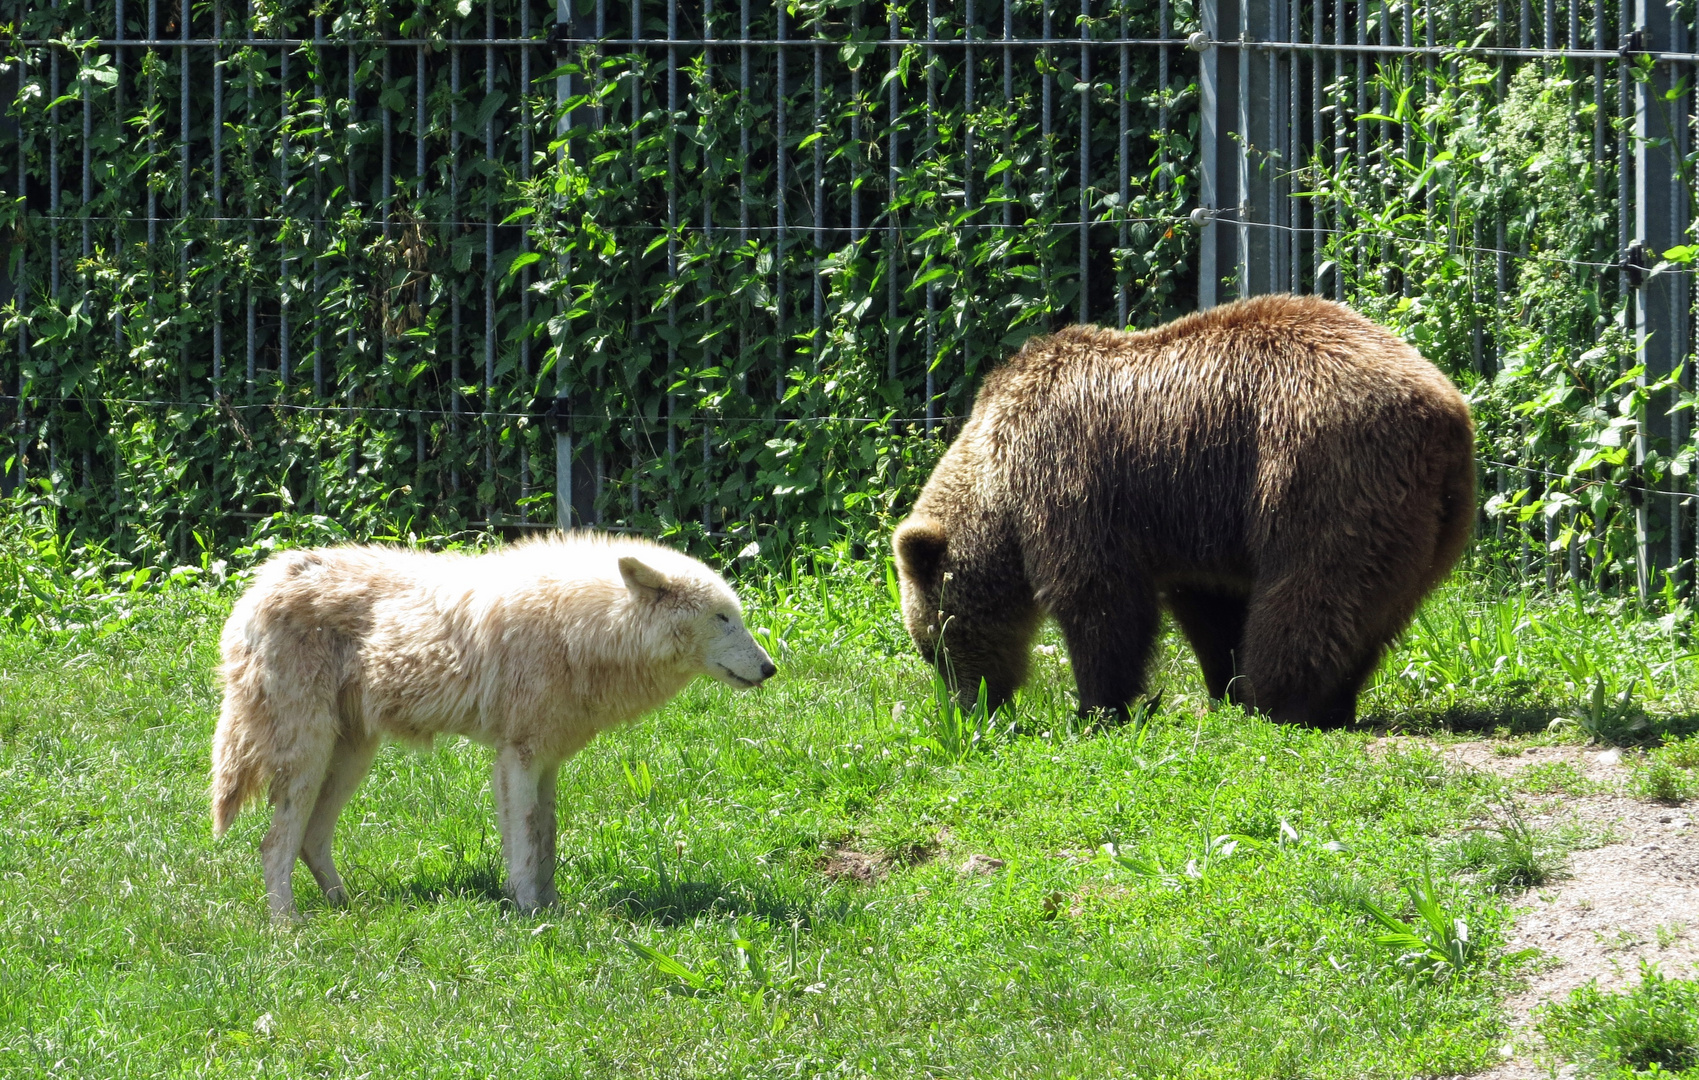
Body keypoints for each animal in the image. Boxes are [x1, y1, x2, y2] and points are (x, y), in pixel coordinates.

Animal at [207, 529, 781, 910]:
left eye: (737, 617)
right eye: (723, 618)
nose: (771, 668)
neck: (583, 627)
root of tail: (255, 590)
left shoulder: (546, 762)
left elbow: (545, 842)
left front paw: (552, 908)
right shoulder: (517, 758)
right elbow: (524, 848)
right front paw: (532, 918)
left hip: (349, 759)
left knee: (309, 841)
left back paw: (346, 909)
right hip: (308, 757)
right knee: (273, 846)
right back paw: (289, 926)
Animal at [890, 293, 1474, 726]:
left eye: (931, 647)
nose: (967, 712)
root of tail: (1447, 411)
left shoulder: (1070, 480)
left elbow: (1100, 599)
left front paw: (1097, 707)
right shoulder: (1194, 525)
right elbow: (1208, 608)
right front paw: (1221, 684)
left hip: (1319, 467)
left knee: (1311, 590)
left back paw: (1278, 699)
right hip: (1426, 523)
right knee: (1374, 610)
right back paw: (1331, 701)